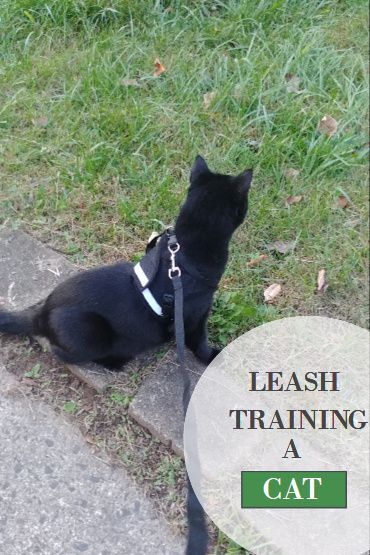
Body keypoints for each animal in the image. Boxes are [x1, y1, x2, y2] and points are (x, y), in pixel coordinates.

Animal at [0, 156, 251, 372]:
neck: (186, 251)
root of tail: (41, 313)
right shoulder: (194, 318)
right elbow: (199, 343)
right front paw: (213, 356)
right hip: (91, 333)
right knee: (60, 353)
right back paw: (115, 361)